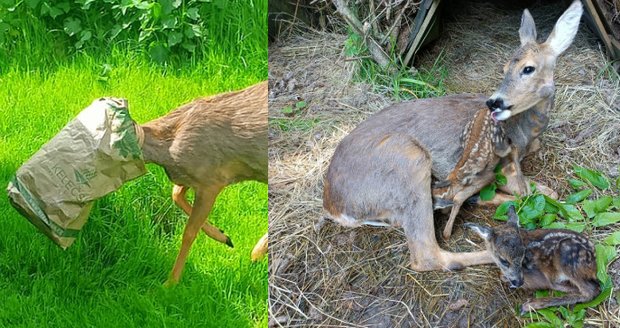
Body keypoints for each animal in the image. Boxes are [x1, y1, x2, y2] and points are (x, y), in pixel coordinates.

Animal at [140, 81, 266, 284]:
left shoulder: (211, 179)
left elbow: (189, 232)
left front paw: (170, 283)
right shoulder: (193, 177)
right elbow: (176, 194)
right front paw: (224, 236)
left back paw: (257, 252)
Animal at [322, 1, 584, 270]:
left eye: (528, 68)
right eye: (504, 68)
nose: (494, 102)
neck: (527, 131)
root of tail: (333, 207)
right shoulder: (506, 165)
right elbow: (542, 192)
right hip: (408, 162)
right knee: (427, 255)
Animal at [468, 206, 600, 314]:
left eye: (523, 255)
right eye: (504, 260)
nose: (519, 282)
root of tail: (594, 261)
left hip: (567, 254)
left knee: (591, 291)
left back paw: (530, 305)